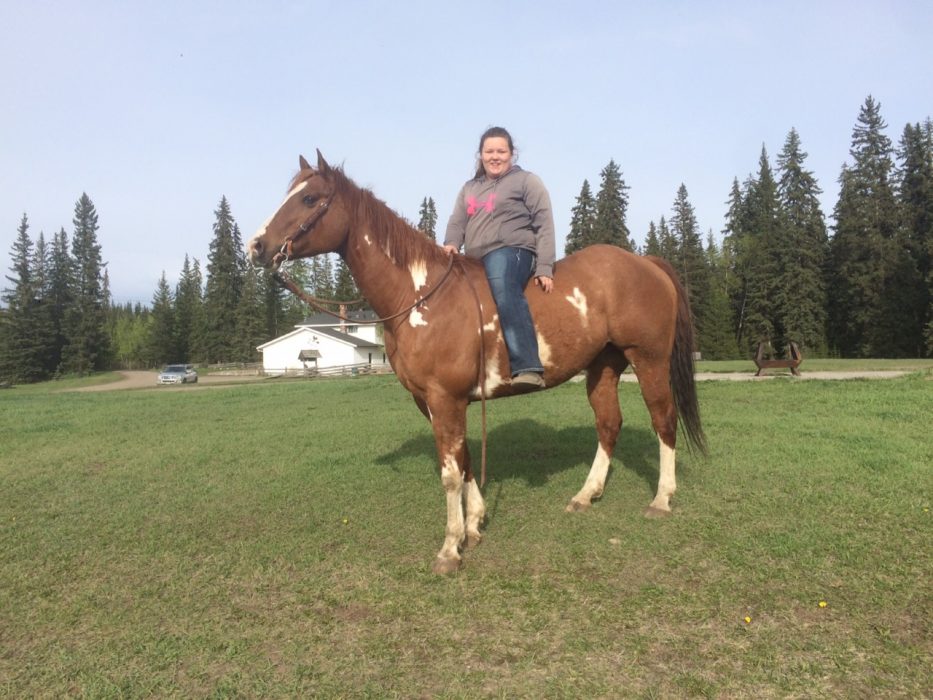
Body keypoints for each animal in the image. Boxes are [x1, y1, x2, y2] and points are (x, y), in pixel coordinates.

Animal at [247, 152, 706, 574]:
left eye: (309, 198)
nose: (257, 247)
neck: (420, 295)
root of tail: (646, 263)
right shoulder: (434, 402)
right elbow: (464, 460)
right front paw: (474, 525)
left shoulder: (445, 397)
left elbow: (451, 473)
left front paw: (451, 548)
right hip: (603, 366)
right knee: (609, 424)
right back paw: (585, 495)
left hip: (648, 360)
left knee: (663, 420)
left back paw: (661, 498)